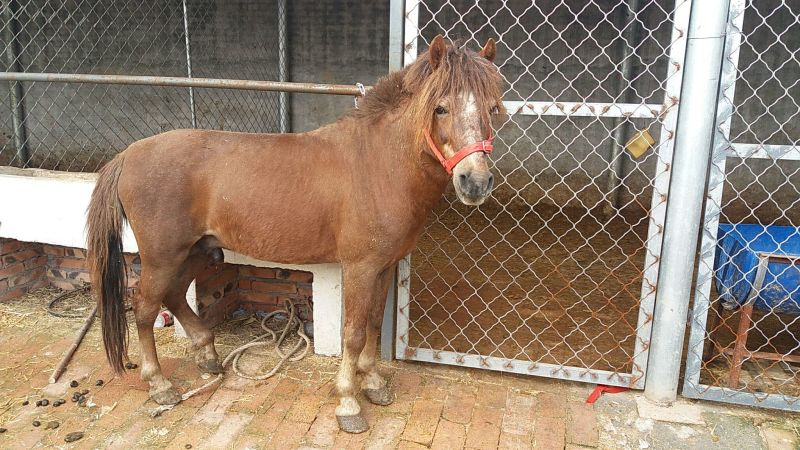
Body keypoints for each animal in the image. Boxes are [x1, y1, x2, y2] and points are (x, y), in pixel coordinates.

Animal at [86, 35, 504, 433]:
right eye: (441, 108)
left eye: (492, 109)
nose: (475, 182)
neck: (377, 165)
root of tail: (128, 154)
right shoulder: (360, 267)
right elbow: (353, 332)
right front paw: (349, 403)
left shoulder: (385, 266)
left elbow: (371, 324)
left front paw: (373, 384)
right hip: (163, 256)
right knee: (144, 308)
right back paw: (160, 385)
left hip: (196, 251)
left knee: (173, 296)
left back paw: (208, 357)